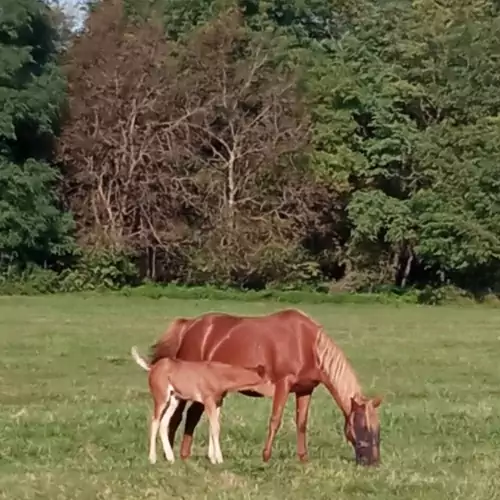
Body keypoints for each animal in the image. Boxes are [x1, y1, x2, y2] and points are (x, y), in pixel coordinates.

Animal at [132, 346, 274, 462]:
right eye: (268, 381)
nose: (274, 391)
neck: (219, 376)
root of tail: (153, 367)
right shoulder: (208, 400)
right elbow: (215, 427)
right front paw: (219, 459)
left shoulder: (218, 402)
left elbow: (213, 426)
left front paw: (212, 458)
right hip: (161, 396)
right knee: (155, 421)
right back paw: (152, 458)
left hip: (174, 398)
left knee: (164, 422)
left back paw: (171, 458)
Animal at [148, 306, 382, 466]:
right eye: (362, 426)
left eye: (378, 428)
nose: (373, 462)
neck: (308, 345)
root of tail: (189, 325)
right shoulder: (283, 385)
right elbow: (275, 420)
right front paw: (266, 456)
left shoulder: (305, 390)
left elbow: (301, 423)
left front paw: (303, 458)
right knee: (177, 417)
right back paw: (170, 454)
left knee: (190, 417)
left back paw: (183, 455)